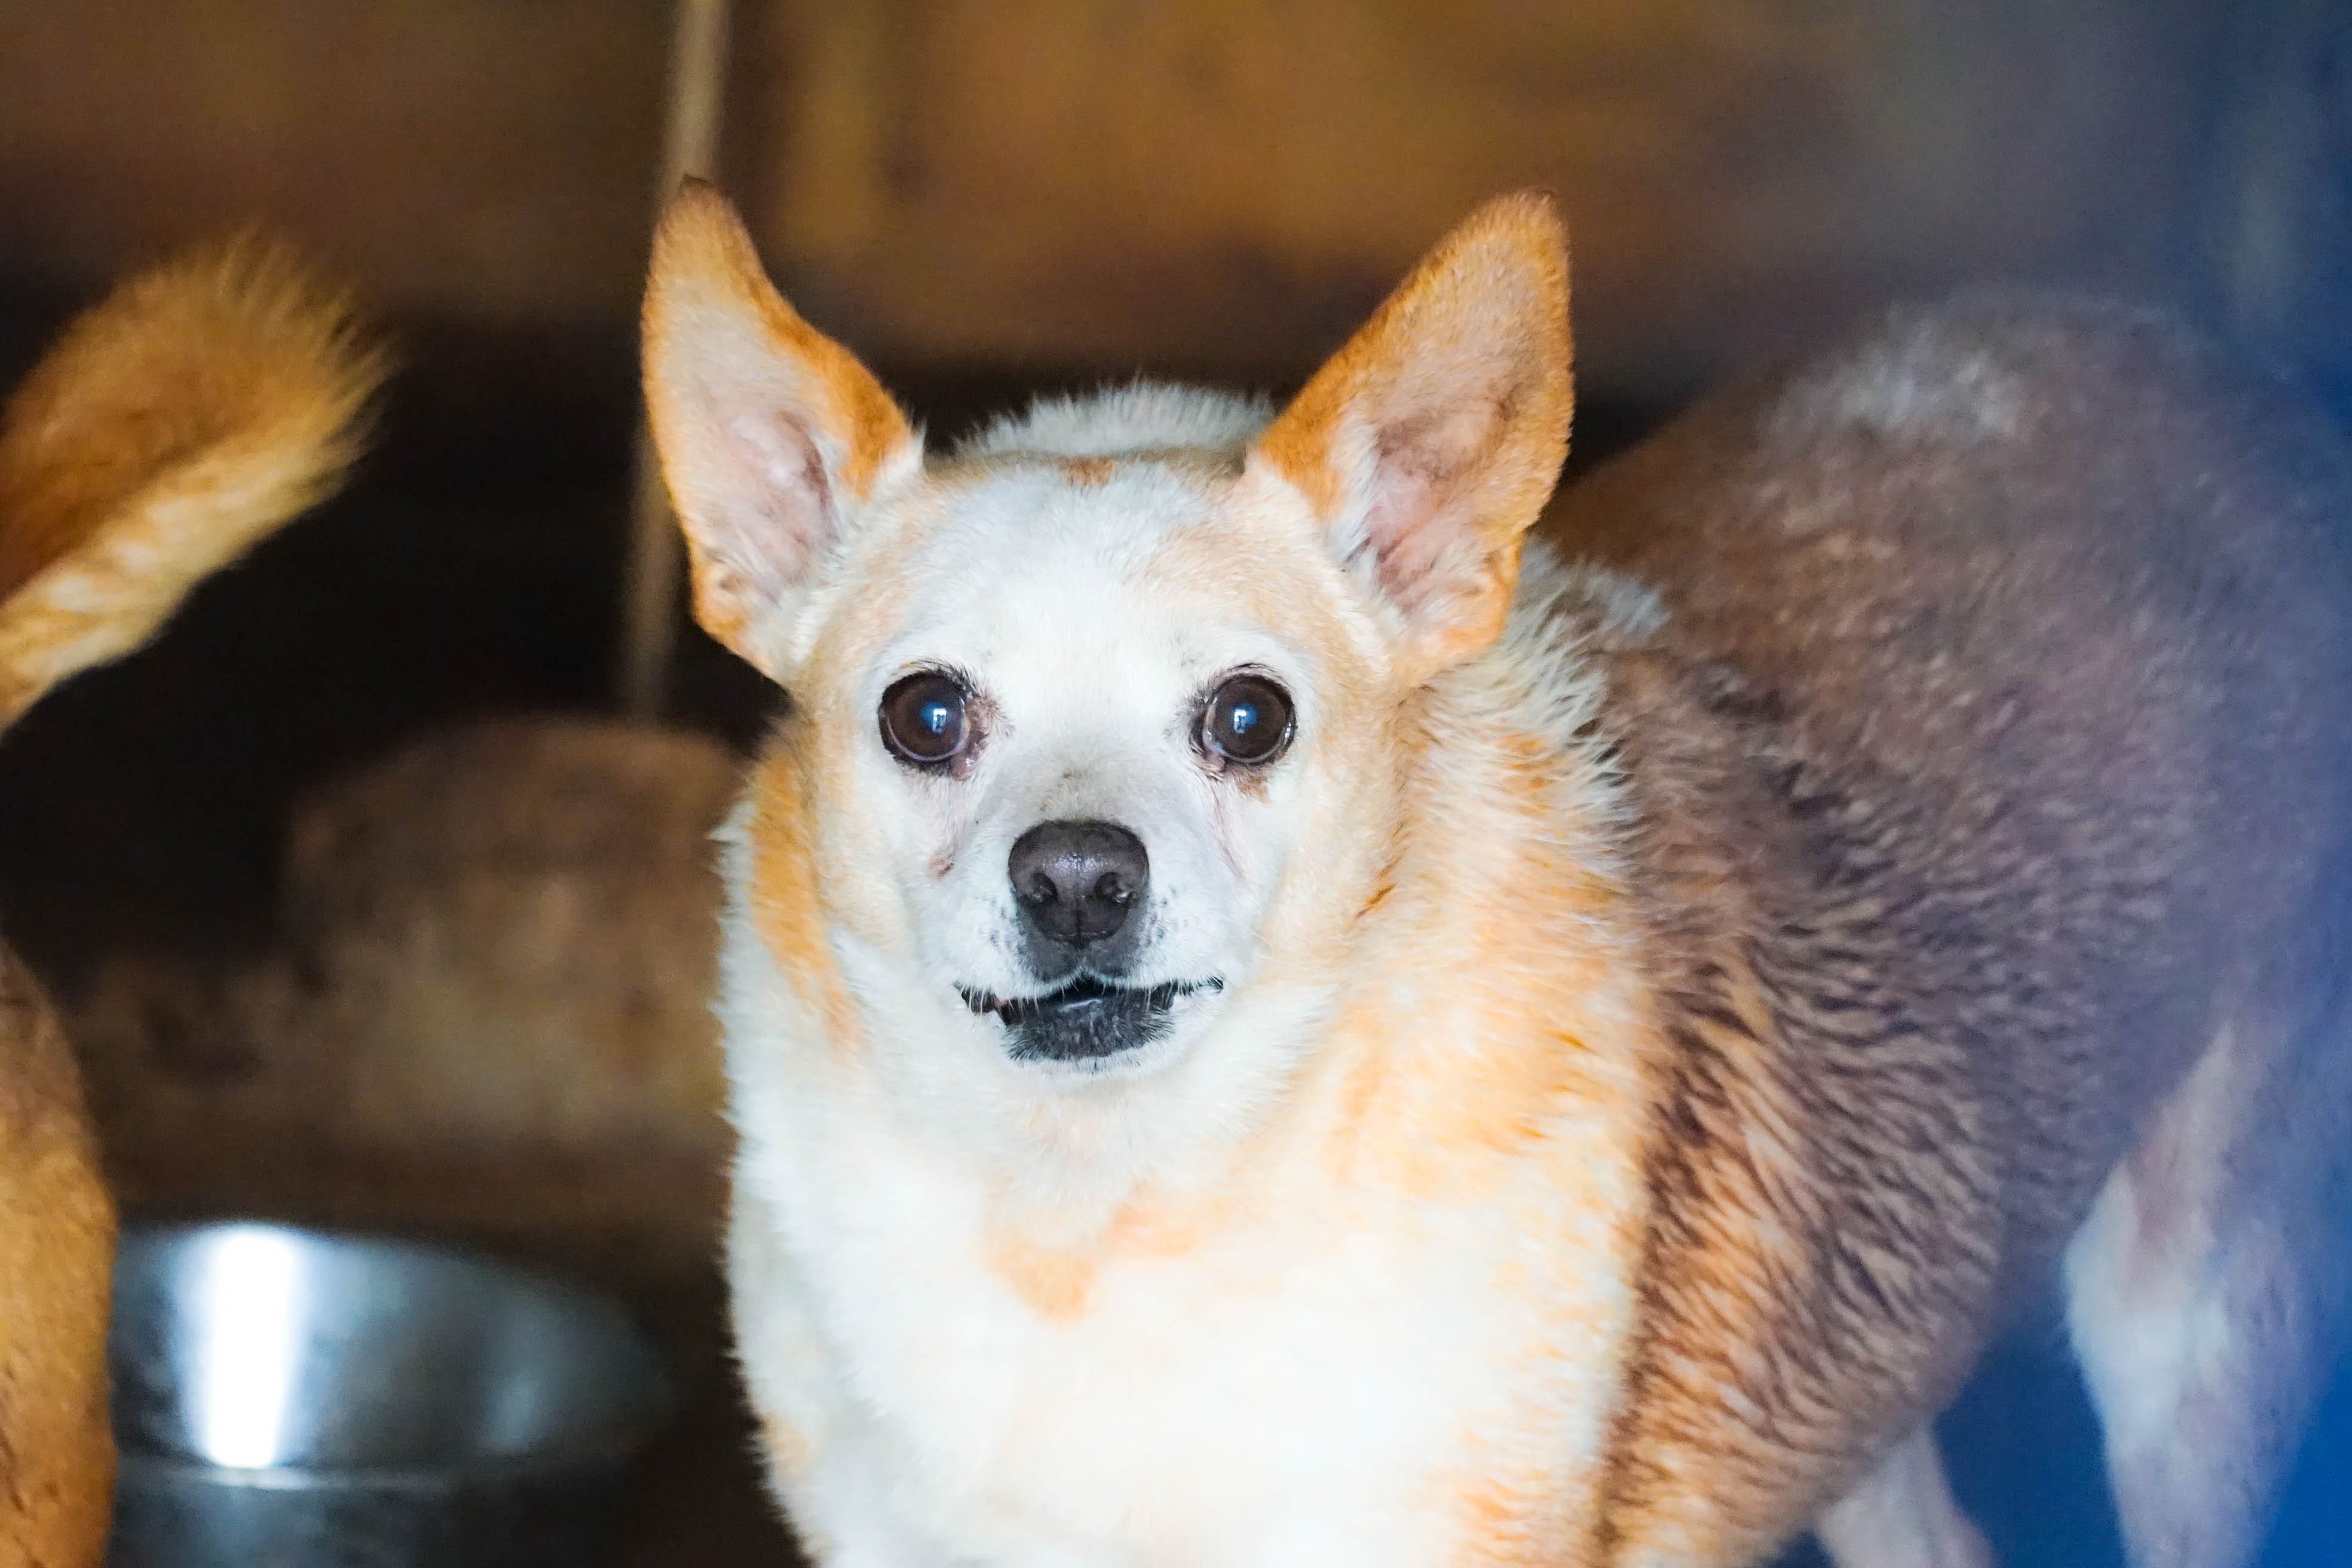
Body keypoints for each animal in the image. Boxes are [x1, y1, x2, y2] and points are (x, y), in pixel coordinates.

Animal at [635, 177, 2352, 1561]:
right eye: (924, 716)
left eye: (1249, 718)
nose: (1075, 877)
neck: (1095, 1220)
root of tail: (2239, 382)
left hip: (2193, 1340)